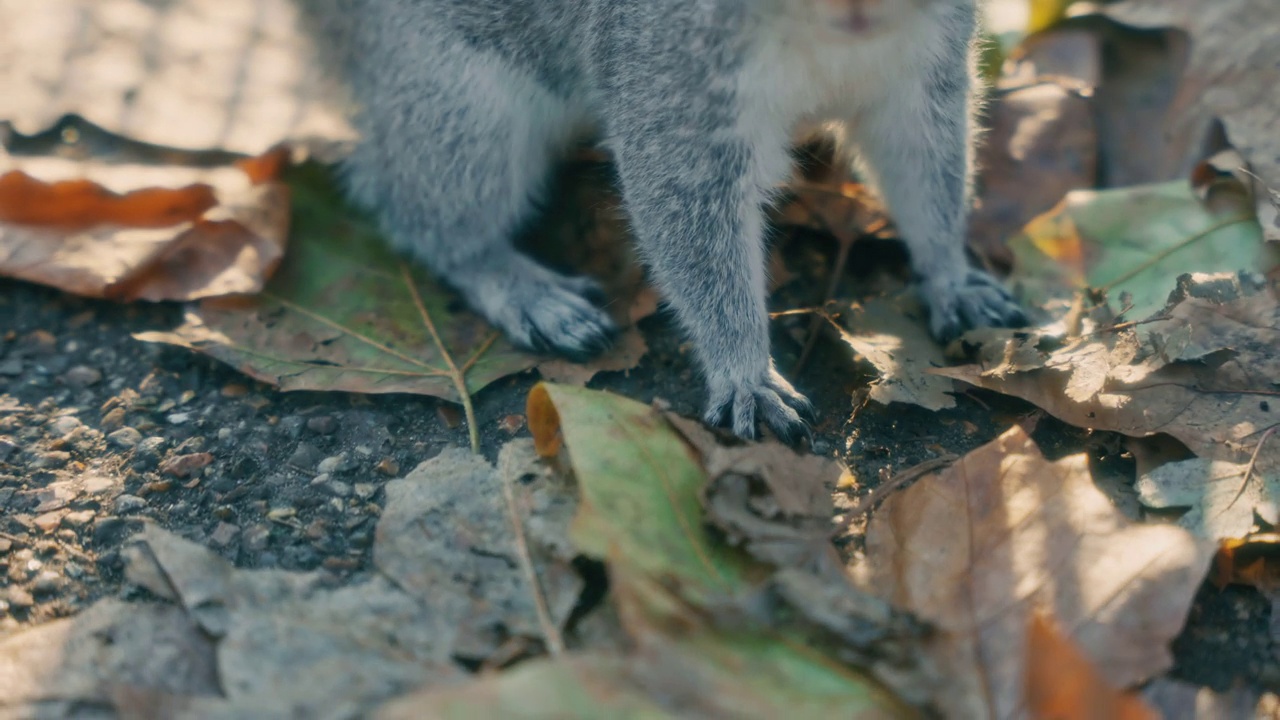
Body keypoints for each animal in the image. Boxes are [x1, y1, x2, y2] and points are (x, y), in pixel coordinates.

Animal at [294, 1, 1024, 443]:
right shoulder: (671, 87)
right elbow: (690, 223)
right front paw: (746, 374)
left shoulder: (921, 76)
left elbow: (927, 173)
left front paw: (953, 276)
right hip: (458, 103)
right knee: (421, 209)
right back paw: (523, 288)